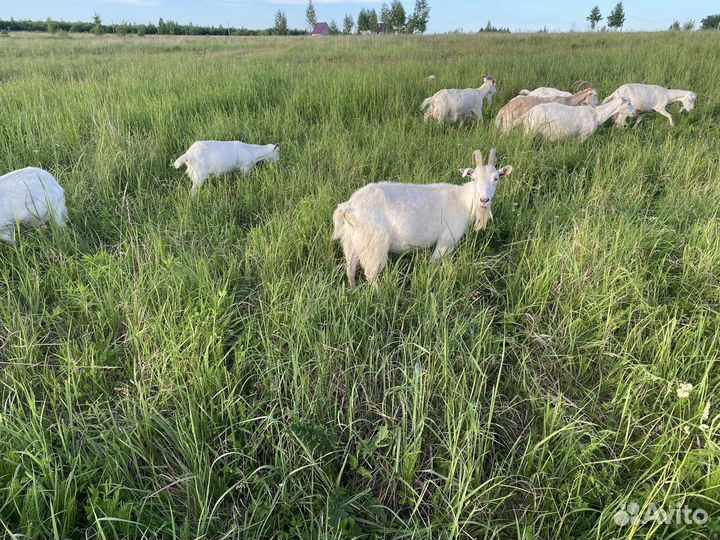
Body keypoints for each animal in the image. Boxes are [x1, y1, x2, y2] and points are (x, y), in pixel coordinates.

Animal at [332, 149, 513, 286]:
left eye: (496, 178)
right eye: (474, 178)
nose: (484, 200)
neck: (463, 200)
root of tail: (348, 206)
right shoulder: (446, 240)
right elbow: (434, 263)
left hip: (351, 241)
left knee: (350, 269)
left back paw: (353, 290)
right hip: (374, 244)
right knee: (370, 273)